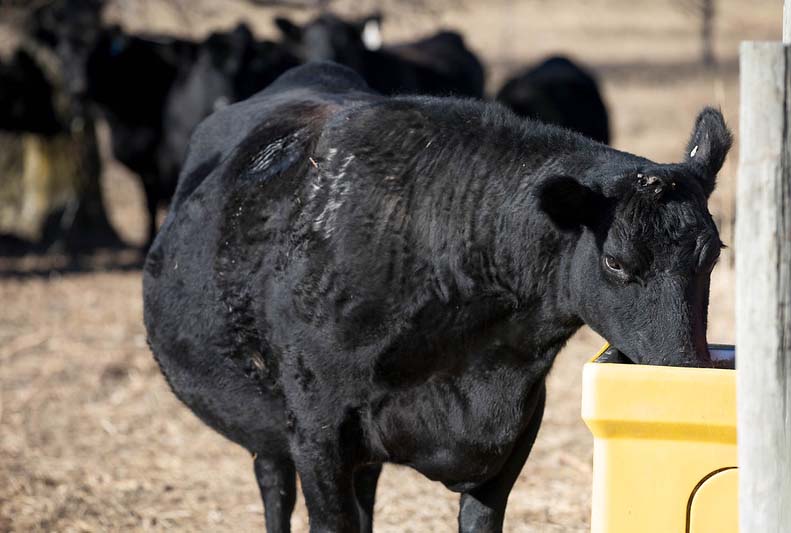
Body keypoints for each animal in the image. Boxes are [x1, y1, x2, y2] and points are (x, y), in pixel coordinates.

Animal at [143, 62, 731, 532]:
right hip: (267, 424)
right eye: (615, 262)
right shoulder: (316, 428)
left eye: (715, 252)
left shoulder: (514, 431)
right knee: (274, 487)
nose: (681, 364)